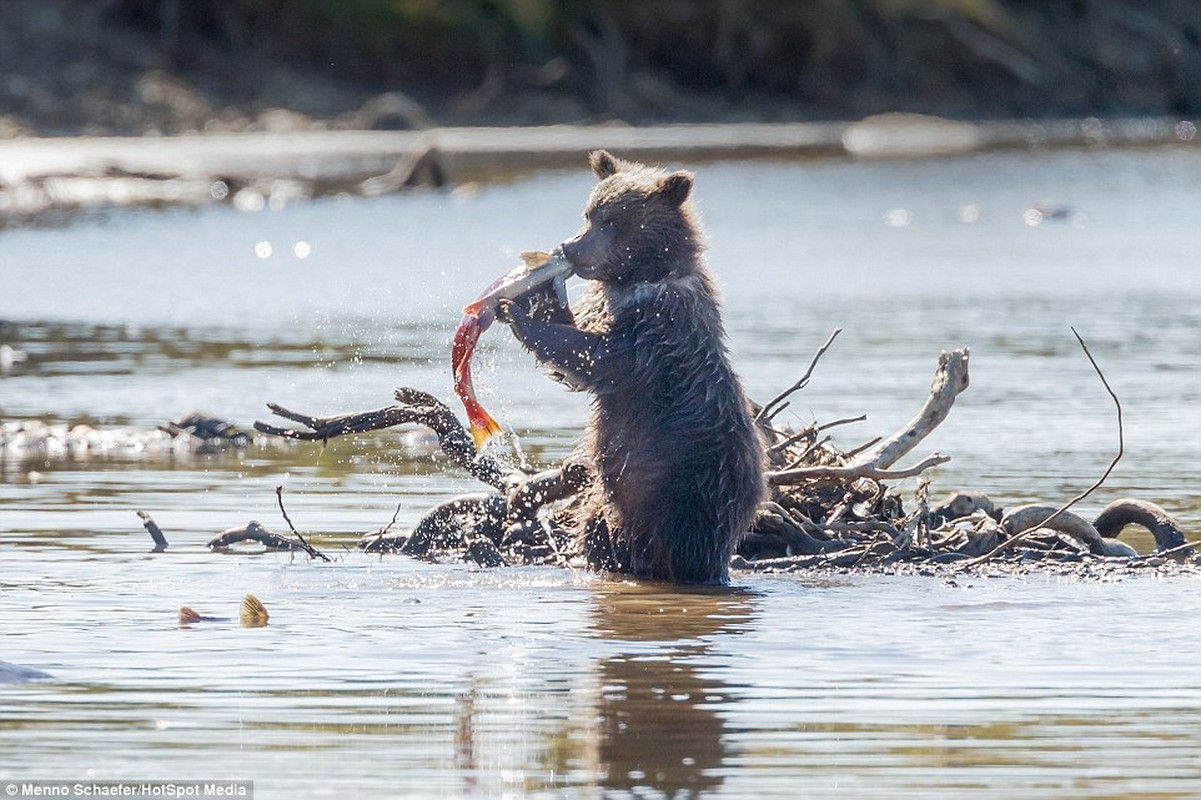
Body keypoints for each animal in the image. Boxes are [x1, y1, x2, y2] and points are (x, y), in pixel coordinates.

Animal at [499, 147, 763, 578]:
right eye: (588, 213)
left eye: (612, 220)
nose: (570, 247)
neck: (638, 278)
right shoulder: (607, 304)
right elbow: (576, 344)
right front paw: (534, 294)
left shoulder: (660, 326)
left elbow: (601, 359)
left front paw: (513, 311)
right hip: (610, 503)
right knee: (596, 525)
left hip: (694, 482)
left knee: (689, 541)